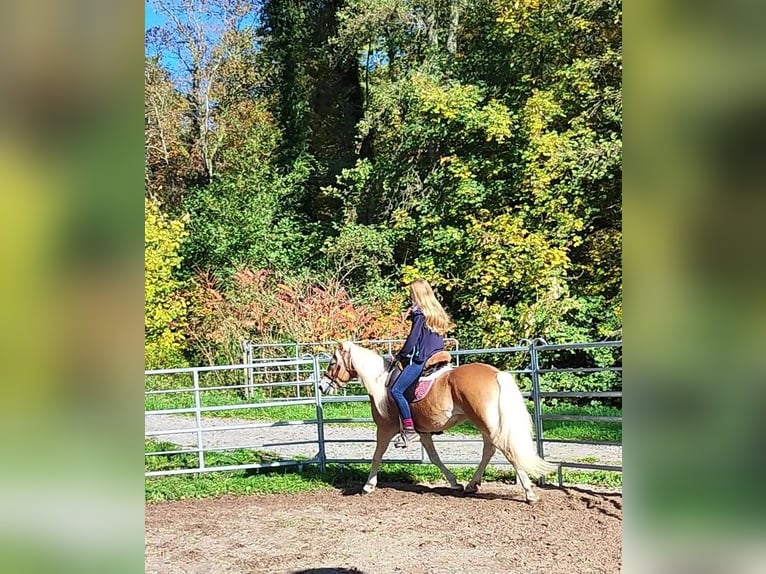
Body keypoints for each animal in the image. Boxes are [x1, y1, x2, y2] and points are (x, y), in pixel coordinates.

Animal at [318, 342, 560, 504]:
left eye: (332, 362)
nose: (322, 386)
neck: (381, 382)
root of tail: (496, 373)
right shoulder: (423, 431)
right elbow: (434, 458)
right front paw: (454, 482)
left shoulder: (384, 429)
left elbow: (377, 455)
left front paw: (368, 486)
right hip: (486, 423)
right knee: (489, 450)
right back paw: (471, 485)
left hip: (486, 423)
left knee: (506, 451)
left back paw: (529, 493)